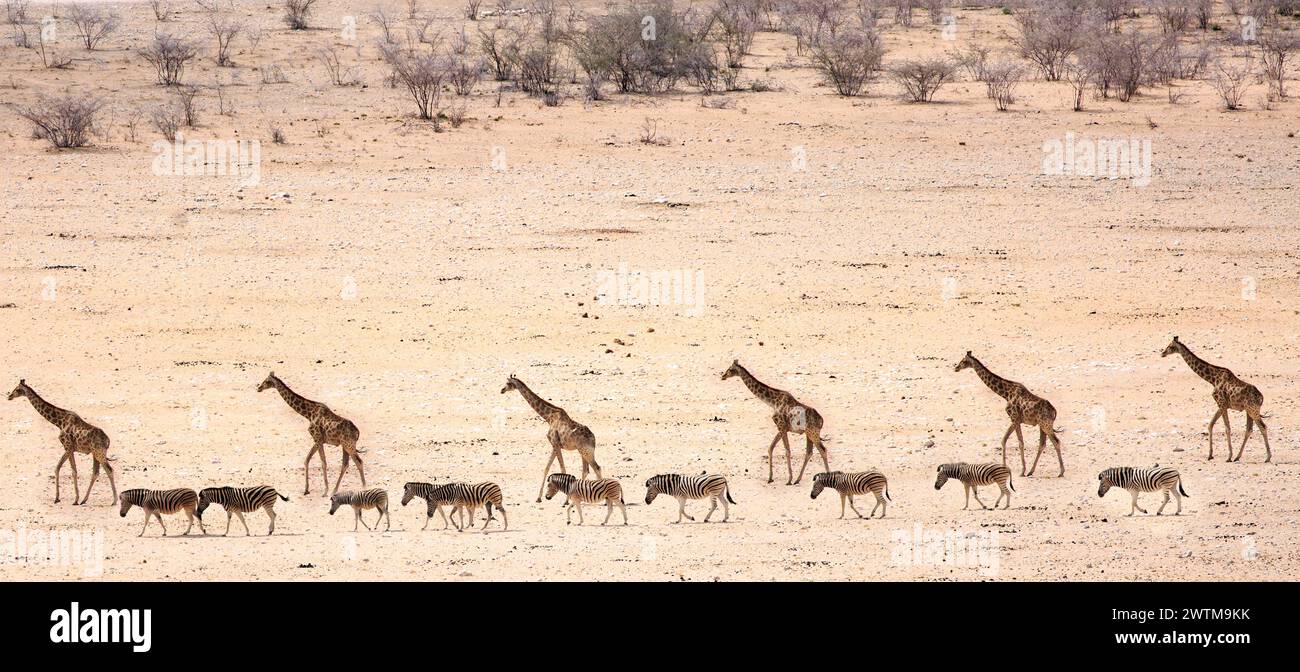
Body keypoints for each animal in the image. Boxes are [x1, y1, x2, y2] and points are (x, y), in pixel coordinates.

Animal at [7, 376, 119, 504]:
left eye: (17, 389)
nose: (9, 396)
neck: (59, 422)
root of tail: (108, 440)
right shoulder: (71, 449)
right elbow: (66, 469)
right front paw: (68, 498)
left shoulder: (68, 447)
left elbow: (65, 470)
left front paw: (67, 499)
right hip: (95, 453)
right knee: (96, 473)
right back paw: (84, 500)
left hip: (99, 453)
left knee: (109, 470)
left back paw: (114, 501)